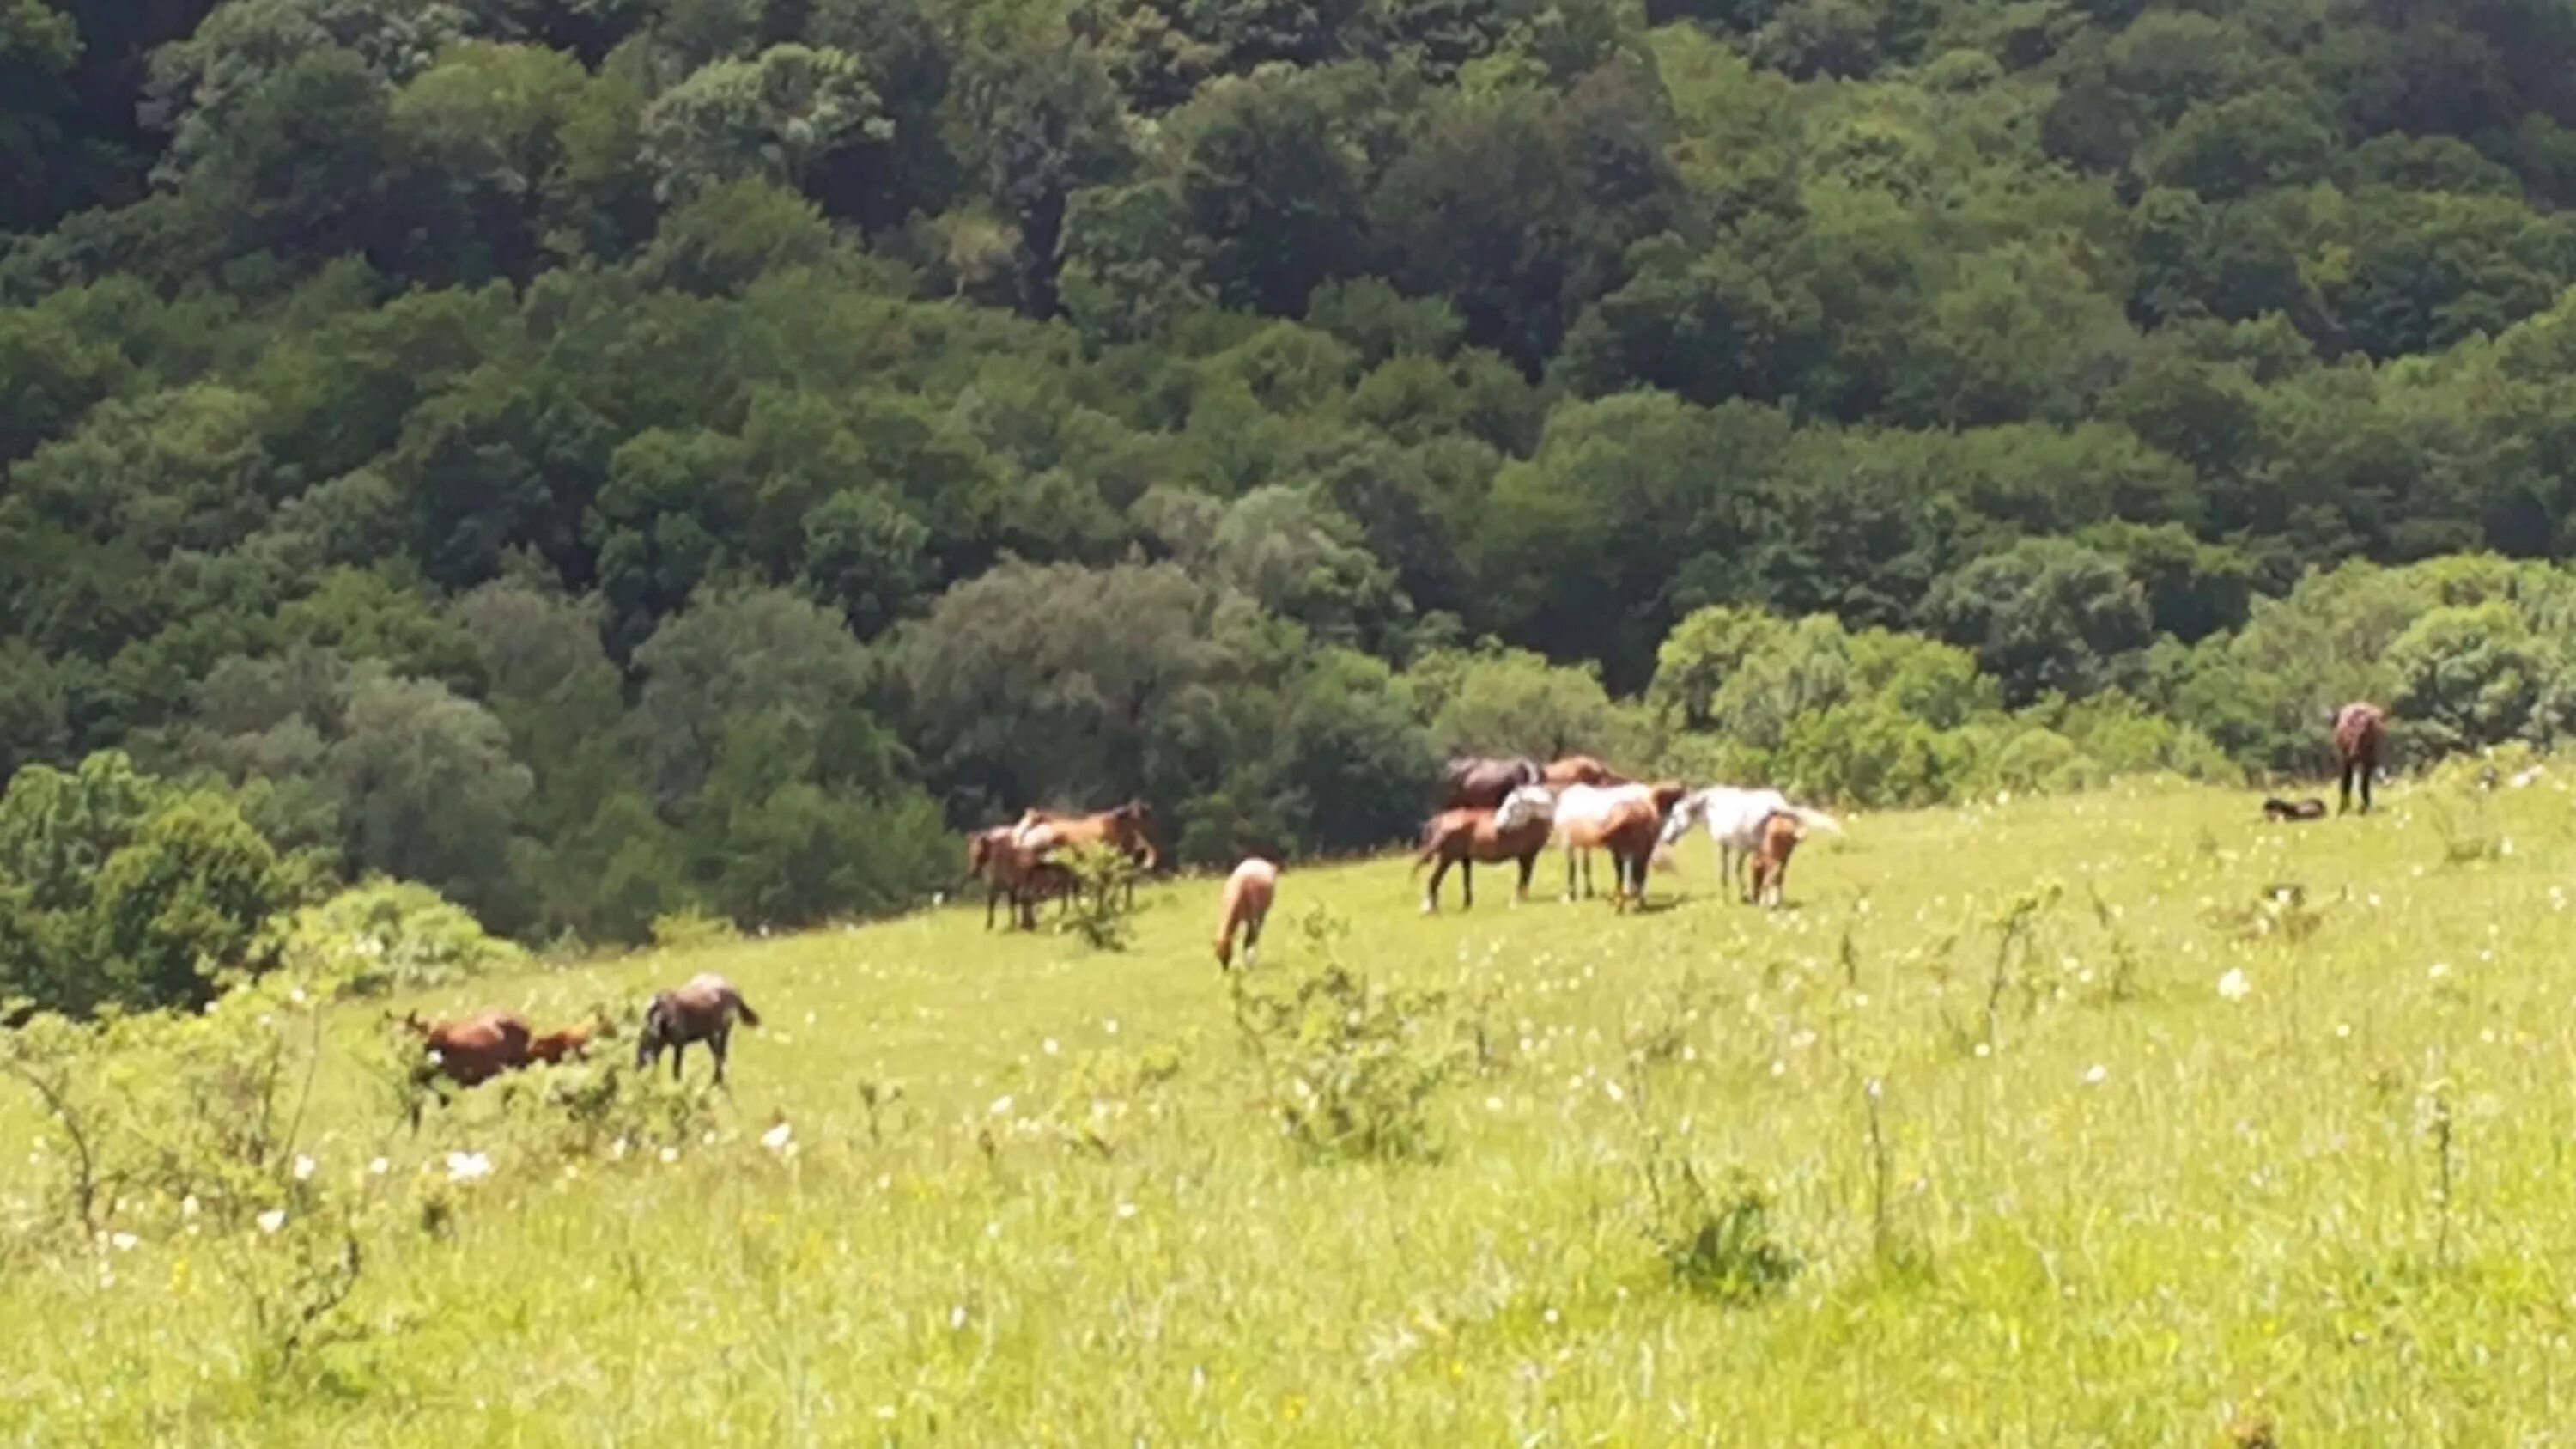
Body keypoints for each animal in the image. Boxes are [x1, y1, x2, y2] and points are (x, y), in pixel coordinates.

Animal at [636, 969, 757, 1082]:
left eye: (645, 1042)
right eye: (640, 1043)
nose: (636, 1067)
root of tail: (734, 988)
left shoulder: (679, 1043)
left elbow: (676, 1069)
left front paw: (677, 1086)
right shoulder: (662, 1045)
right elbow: (657, 1067)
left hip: (723, 1030)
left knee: (721, 1055)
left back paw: (717, 1081)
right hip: (711, 1035)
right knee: (717, 1056)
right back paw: (716, 1081)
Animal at [1211, 855, 1283, 969]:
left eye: (1228, 951)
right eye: (1217, 954)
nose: (1225, 969)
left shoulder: (1250, 917)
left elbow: (1248, 939)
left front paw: (1249, 963)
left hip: (1262, 912)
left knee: (1257, 931)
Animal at [1412, 783, 1546, 907]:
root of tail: (1438, 821)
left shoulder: (1524, 856)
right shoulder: (1527, 855)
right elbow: (1525, 877)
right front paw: (1521, 899)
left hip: (1461, 859)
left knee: (1461, 881)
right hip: (1446, 858)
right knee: (1434, 880)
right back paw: (1433, 908)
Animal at [1659, 783, 1844, 897]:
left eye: (1674, 815)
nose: (1666, 838)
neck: (1711, 808)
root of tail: (1776, 805)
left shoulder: (1725, 845)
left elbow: (1725, 871)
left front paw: (1729, 895)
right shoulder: (1743, 849)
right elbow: (1738, 869)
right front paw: (1744, 894)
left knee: (1772, 872)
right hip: (1780, 853)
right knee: (1778, 874)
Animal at [2339, 701, 2391, 814]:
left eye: (2364, 734)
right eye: (2350, 733)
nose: (2354, 754)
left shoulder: (2368, 761)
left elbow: (2364, 784)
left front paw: (2364, 807)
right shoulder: (2346, 759)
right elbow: (2346, 782)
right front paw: (2342, 809)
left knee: (2362, 783)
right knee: (2349, 781)